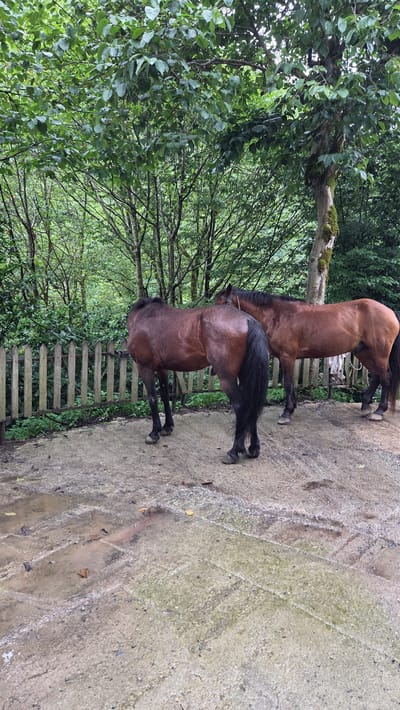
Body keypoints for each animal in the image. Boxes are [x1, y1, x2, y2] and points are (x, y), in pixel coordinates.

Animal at [127, 297, 269, 463]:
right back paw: (253, 448)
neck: (143, 317)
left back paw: (233, 452)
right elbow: (165, 396)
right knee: (251, 405)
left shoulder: (145, 367)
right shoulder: (162, 368)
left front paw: (154, 433)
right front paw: (167, 427)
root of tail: (248, 320)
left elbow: (152, 399)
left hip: (227, 378)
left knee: (241, 406)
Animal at [215, 285, 400, 425]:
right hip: (364, 352)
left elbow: (288, 383)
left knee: (386, 377)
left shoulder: (287, 357)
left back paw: (379, 411)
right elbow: (290, 384)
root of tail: (390, 312)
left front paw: (286, 413)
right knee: (376, 376)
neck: (278, 316)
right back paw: (366, 406)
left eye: (223, 303)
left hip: (379, 353)